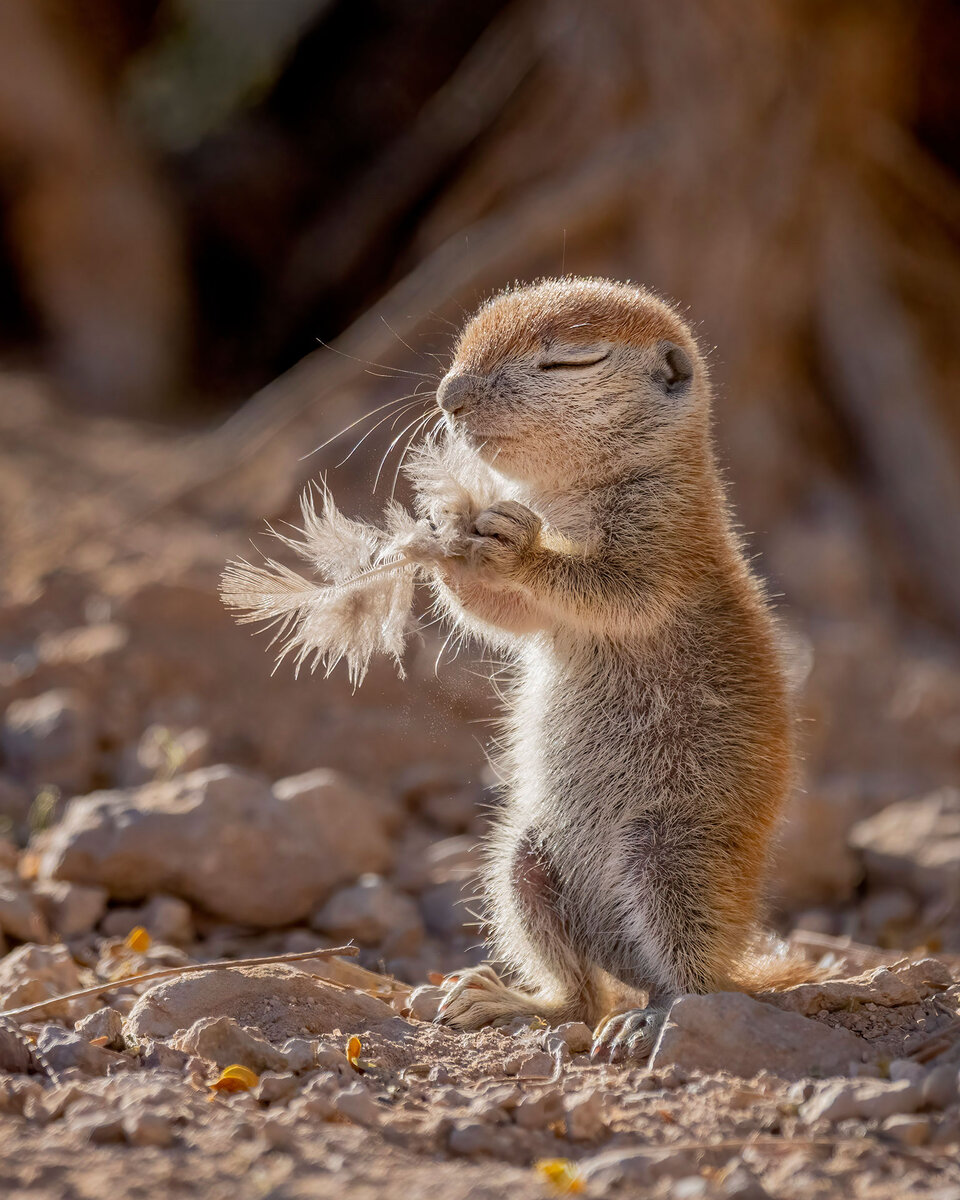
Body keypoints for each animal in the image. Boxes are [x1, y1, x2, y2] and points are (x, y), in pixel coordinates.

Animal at [400, 274, 816, 1060]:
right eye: (464, 345)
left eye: (572, 360)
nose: (448, 394)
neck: (570, 499)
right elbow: (501, 615)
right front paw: (442, 532)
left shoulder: (665, 541)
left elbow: (614, 589)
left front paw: (518, 548)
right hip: (526, 861)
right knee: (580, 996)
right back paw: (508, 999)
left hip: (669, 856)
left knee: (693, 984)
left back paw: (650, 1019)